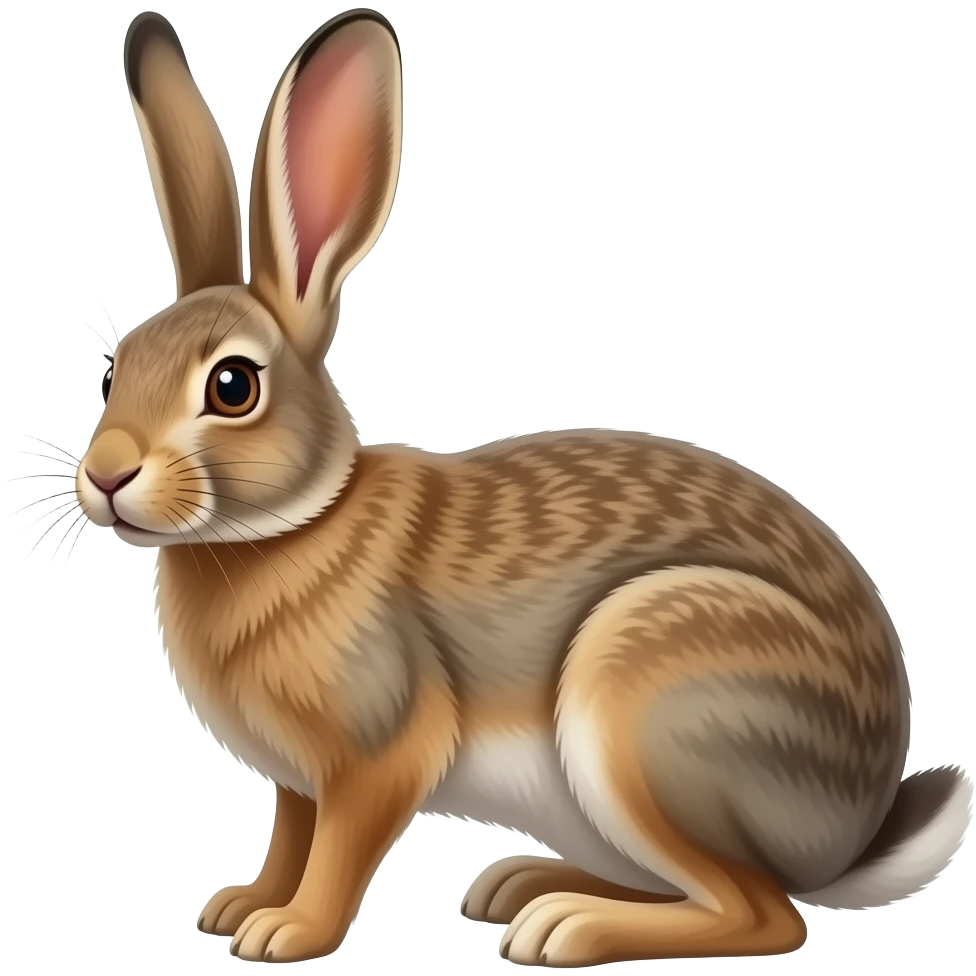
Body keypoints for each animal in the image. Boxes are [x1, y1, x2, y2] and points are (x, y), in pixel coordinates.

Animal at [76, 8, 974, 967]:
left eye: (233, 387)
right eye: (116, 370)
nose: (105, 475)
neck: (290, 525)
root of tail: (854, 832)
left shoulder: (377, 753)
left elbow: (338, 851)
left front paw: (287, 933)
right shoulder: (299, 781)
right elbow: (291, 836)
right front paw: (240, 906)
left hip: (651, 700)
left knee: (764, 914)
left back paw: (566, 927)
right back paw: (524, 886)